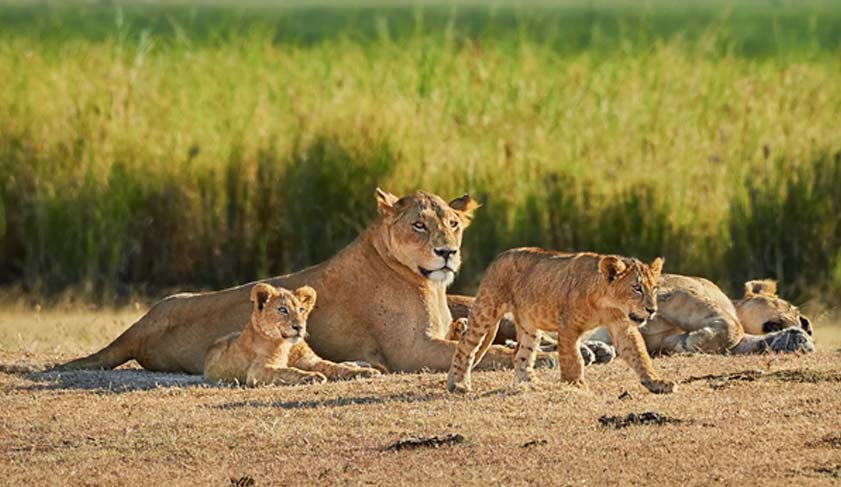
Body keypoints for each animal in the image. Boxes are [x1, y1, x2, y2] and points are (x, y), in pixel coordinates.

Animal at [57, 189, 552, 374]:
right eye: (419, 225)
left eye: (452, 223)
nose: (447, 252)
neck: (427, 283)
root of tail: (137, 330)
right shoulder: (410, 351)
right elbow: (477, 353)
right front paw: (537, 357)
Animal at [204, 283, 380, 386]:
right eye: (283, 310)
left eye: (301, 310)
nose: (299, 327)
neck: (288, 345)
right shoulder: (257, 371)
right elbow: (287, 371)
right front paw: (312, 377)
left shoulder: (311, 360)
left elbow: (333, 366)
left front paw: (364, 373)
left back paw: (359, 364)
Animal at [447, 248, 676, 394]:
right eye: (636, 288)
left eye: (654, 288)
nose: (652, 310)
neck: (607, 304)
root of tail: (498, 258)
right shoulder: (568, 326)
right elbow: (572, 357)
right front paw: (576, 384)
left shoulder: (623, 327)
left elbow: (639, 355)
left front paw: (656, 382)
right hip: (487, 309)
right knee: (466, 343)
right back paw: (458, 384)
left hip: (530, 325)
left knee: (520, 354)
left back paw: (530, 384)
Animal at [585, 275, 815, 357]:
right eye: (791, 307)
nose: (807, 326)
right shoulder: (672, 291)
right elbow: (734, 326)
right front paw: (696, 340)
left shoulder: (666, 340)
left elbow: (742, 338)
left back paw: (595, 352)